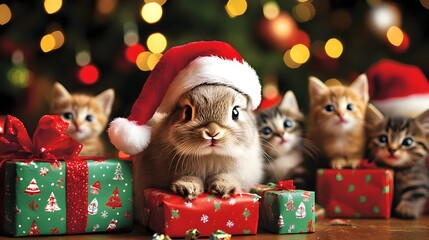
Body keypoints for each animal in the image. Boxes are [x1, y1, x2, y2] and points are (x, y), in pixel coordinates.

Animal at [132, 84, 264, 223]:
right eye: (188, 112)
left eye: (235, 112)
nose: (212, 132)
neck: (210, 155)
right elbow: (188, 177)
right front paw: (187, 189)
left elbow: (225, 177)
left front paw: (223, 188)